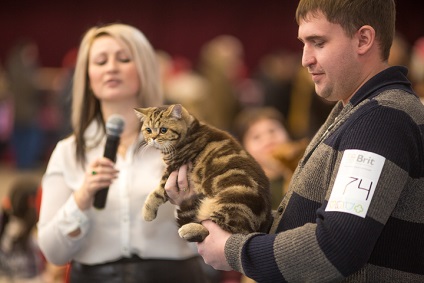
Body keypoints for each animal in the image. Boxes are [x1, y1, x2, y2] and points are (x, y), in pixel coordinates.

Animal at [133, 105, 272, 243]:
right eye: (148, 130)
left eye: (163, 130)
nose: (153, 138)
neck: (190, 130)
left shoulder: (174, 168)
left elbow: (156, 193)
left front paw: (147, 212)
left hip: (234, 199)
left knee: (222, 230)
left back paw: (188, 229)